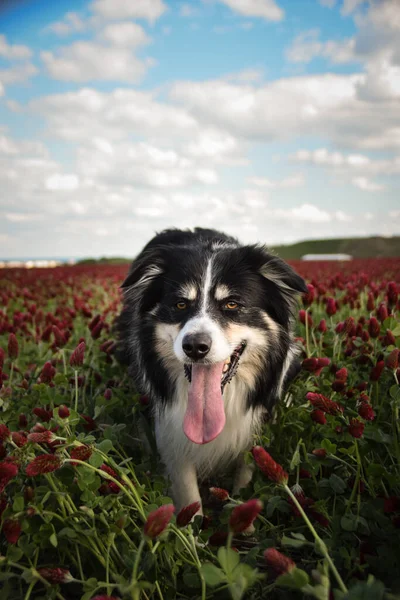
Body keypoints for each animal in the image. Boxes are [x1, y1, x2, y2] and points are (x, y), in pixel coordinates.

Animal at [115, 227, 306, 512]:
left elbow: (247, 468)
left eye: (232, 304)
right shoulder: (171, 431)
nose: (195, 347)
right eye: (180, 304)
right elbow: (188, 493)